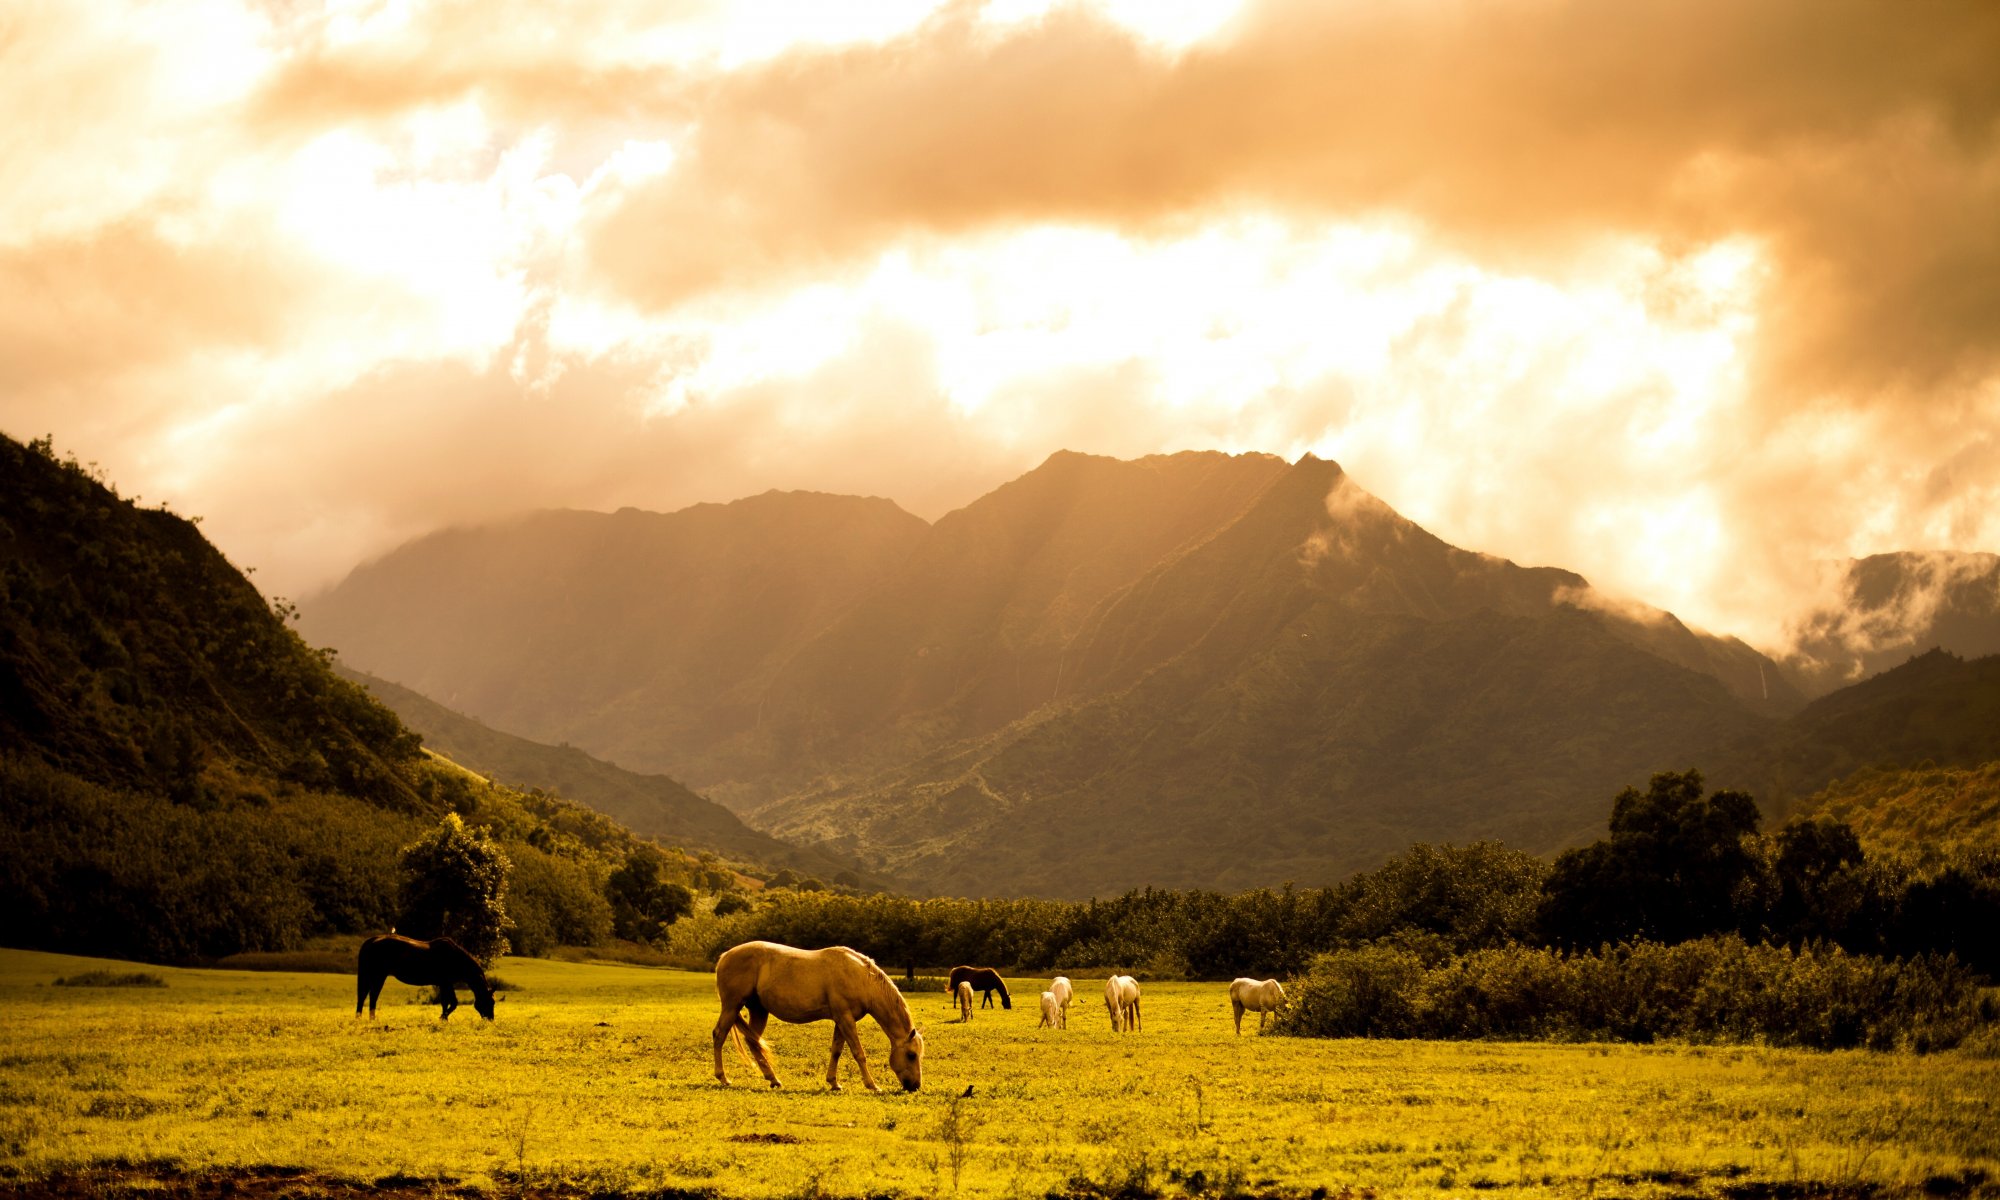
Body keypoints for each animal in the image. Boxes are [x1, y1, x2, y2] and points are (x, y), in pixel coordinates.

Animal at [355, 933, 495, 1021]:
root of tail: (372, 941)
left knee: (367, 996)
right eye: (490, 1002)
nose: (490, 1020)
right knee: (370, 995)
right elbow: (453, 1002)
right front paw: (443, 1018)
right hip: (378, 975)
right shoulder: (446, 983)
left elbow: (445, 1002)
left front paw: (444, 1019)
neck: (455, 958)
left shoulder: (444, 984)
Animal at [712, 941, 925, 1093]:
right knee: (719, 1035)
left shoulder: (842, 1021)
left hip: (759, 1011)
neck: (861, 978)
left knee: (753, 1042)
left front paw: (834, 1083)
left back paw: (774, 1080)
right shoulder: (846, 1019)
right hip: (732, 1006)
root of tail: (724, 956)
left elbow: (836, 1051)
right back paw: (723, 1078)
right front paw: (872, 1085)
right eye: (911, 1055)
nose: (915, 1086)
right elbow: (858, 1053)